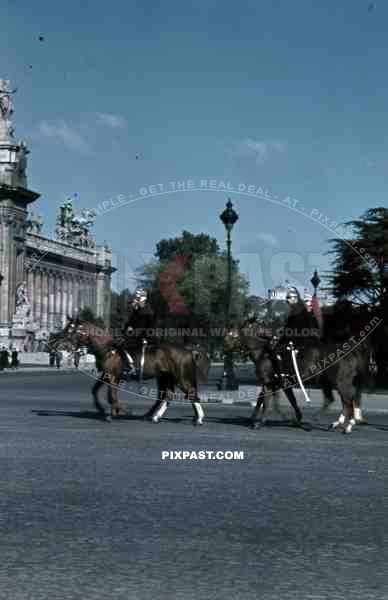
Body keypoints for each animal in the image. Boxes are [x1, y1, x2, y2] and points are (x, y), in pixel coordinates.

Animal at [62, 316, 211, 424]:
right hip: (165, 377)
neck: (108, 350)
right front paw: (103, 410)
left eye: (73, 331)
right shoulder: (104, 376)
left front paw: (114, 413)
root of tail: (188, 350)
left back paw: (199, 418)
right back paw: (155, 417)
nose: (65, 346)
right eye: (66, 329)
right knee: (167, 395)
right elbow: (95, 391)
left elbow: (111, 396)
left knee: (191, 393)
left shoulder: (112, 377)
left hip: (180, 378)